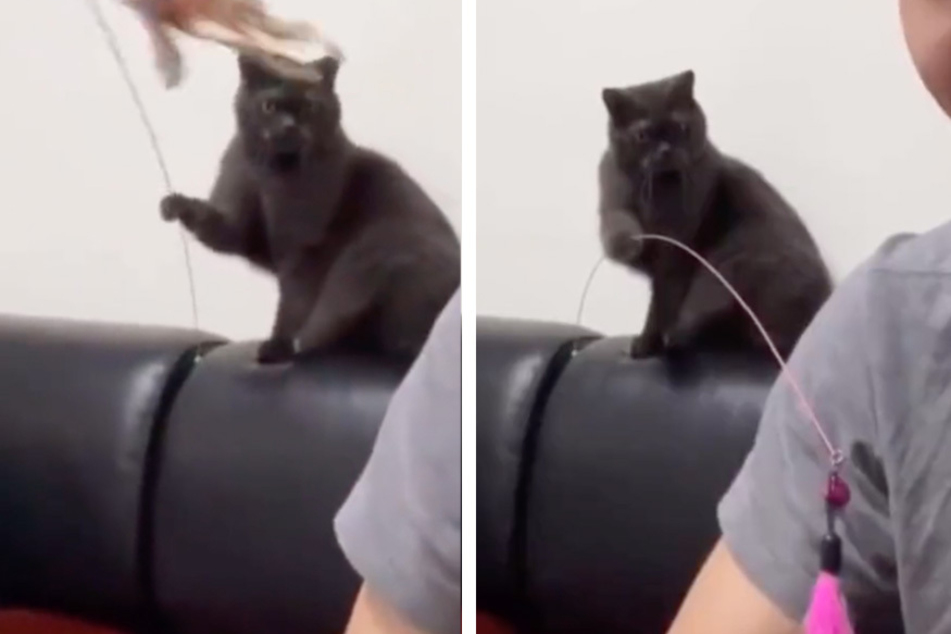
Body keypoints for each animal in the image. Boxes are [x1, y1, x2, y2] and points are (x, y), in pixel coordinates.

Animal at [163, 53, 462, 362]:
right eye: (269, 106)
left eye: (309, 106)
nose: (289, 125)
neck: (270, 174)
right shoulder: (241, 221)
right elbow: (222, 230)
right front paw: (174, 204)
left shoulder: (305, 251)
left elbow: (294, 302)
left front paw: (277, 346)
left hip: (379, 252)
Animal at [604, 71, 832, 358]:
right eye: (642, 135)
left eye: (680, 127)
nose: (665, 149)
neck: (654, 192)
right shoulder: (616, 201)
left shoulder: (675, 257)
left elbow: (661, 305)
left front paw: (645, 346)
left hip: (741, 264)